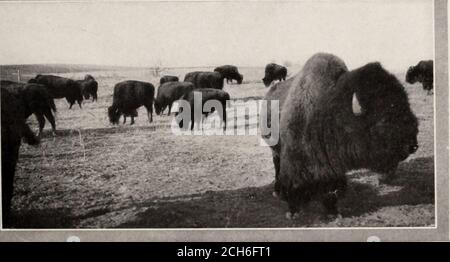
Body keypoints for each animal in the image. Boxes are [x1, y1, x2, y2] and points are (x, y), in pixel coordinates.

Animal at [262, 52, 420, 218]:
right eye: (384, 120)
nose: (412, 146)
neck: (328, 110)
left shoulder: (333, 167)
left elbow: (332, 191)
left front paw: (333, 213)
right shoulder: (294, 162)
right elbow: (293, 187)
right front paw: (293, 213)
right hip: (275, 151)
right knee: (277, 166)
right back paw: (276, 191)